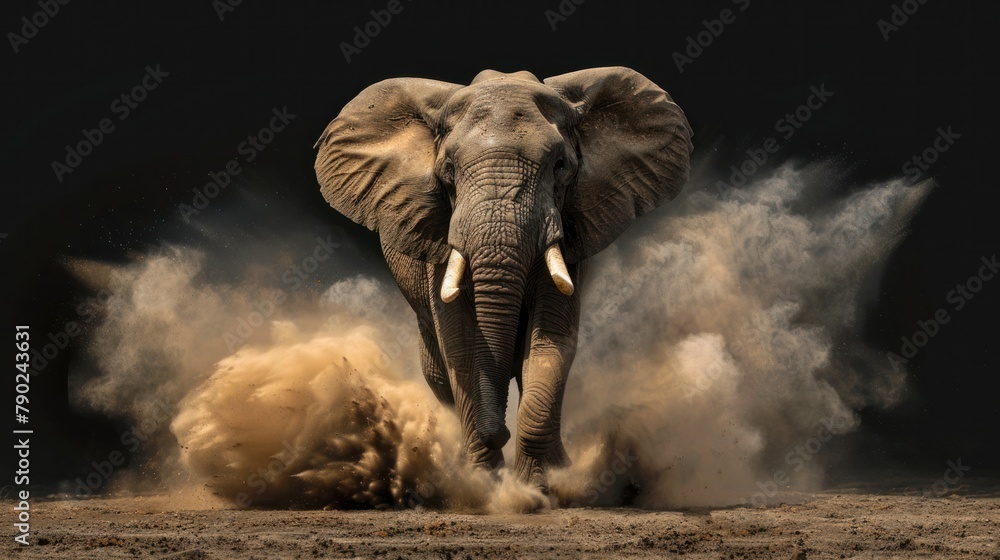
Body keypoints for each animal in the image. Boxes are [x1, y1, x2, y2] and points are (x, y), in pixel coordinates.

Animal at [314, 67, 692, 489]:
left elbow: (550, 342)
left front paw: (538, 488)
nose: (499, 433)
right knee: (438, 373)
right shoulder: (439, 231)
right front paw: (484, 485)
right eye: (448, 169)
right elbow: (460, 344)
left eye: (559, 165)